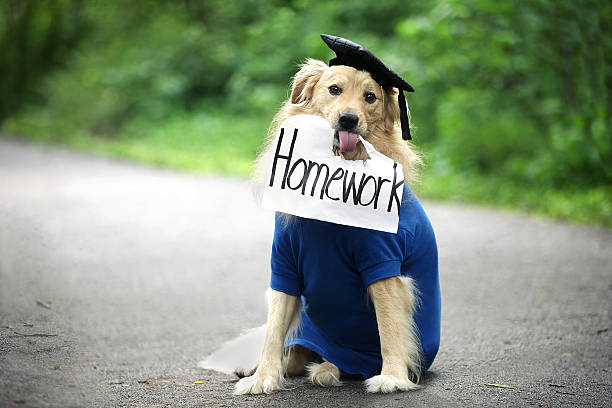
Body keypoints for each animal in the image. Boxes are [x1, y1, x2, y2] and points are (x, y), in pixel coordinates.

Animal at [235, 52, 440, 394]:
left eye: (370, 97)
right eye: (334, 89)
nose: (348, 119)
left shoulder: (383, 264)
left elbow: (390, 328)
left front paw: (392, 376)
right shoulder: (284, 263)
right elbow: (274, 331)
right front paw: (263, 377)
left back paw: (328, 368)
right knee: (294, 354)